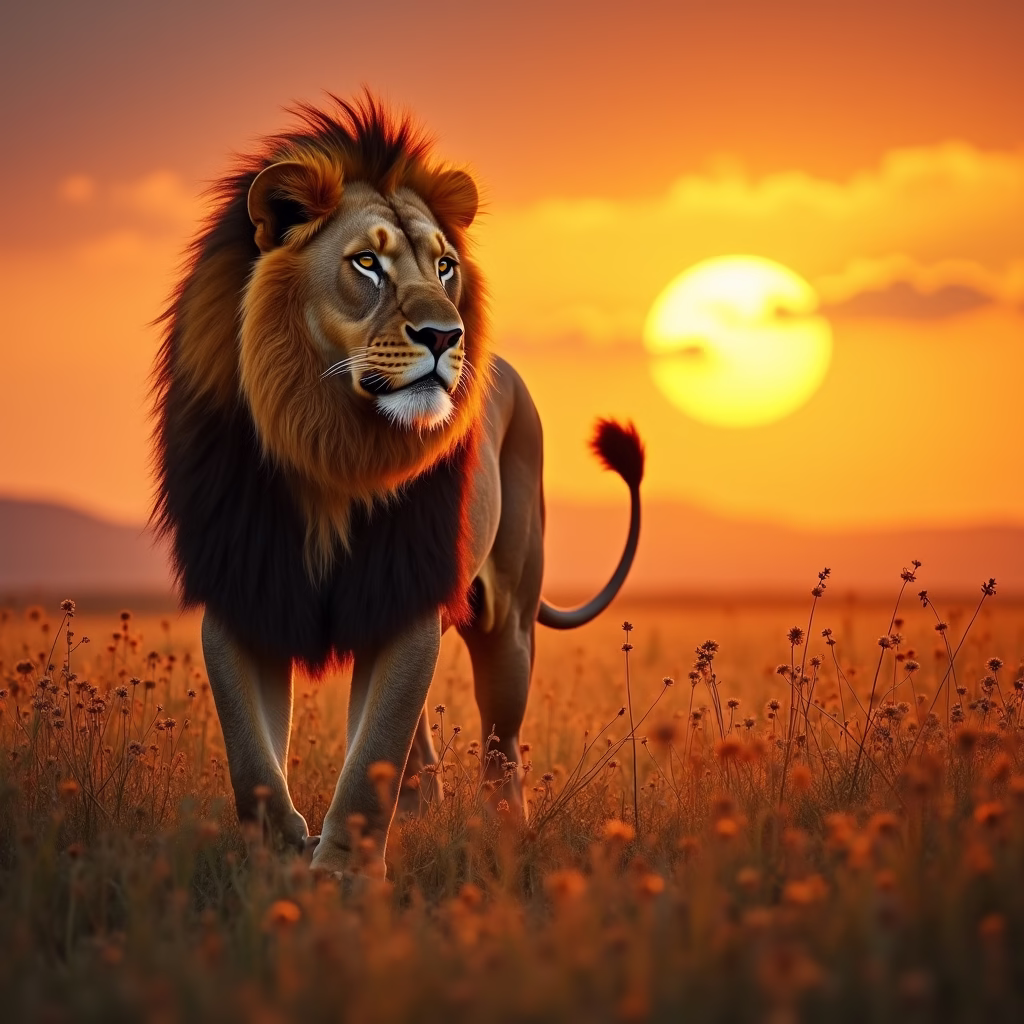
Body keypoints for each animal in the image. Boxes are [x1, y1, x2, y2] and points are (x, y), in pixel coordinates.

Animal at [152, 95, 644, 875]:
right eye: (366, 263)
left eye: (445, 267)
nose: (446, 337)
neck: (328, 444)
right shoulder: (242, 590)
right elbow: (251, 757)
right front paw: (281, 855)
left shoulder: (404, 596)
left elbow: (371, 753)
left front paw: (342, 875)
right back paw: (418, 810)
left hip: (506, 622)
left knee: (500, 745)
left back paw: (501, 833)